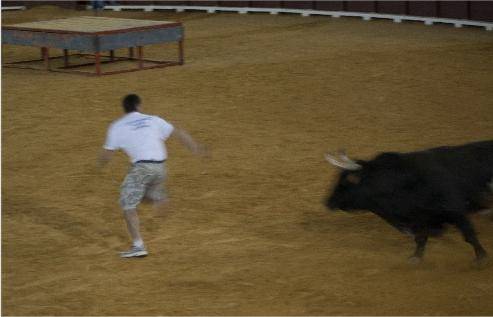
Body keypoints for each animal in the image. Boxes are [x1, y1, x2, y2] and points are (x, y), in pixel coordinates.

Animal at [324, 139, 490, 262]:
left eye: (346, 182)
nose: (328, 202)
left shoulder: (455, 210)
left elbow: (469, 234)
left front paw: (481, 257)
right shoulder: (420, 218)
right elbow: (421, 238)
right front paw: (416, 257)